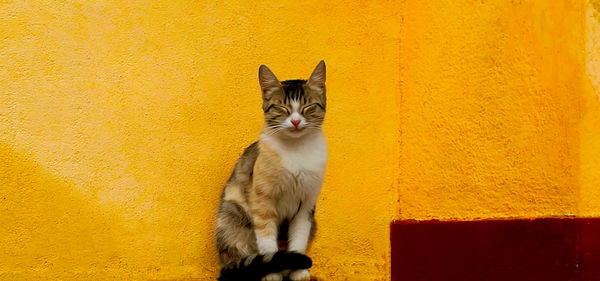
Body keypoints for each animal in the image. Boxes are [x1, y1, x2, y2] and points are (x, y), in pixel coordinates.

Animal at [216, 61, 328, 280]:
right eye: (282, 107)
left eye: (308, 106)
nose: (295, 122)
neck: (296, 149)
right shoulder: (262, 200)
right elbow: (267, 242)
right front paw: (272, 275)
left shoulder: (307, 203)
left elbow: (299, 238)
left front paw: (299, 272)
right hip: (232, 213)